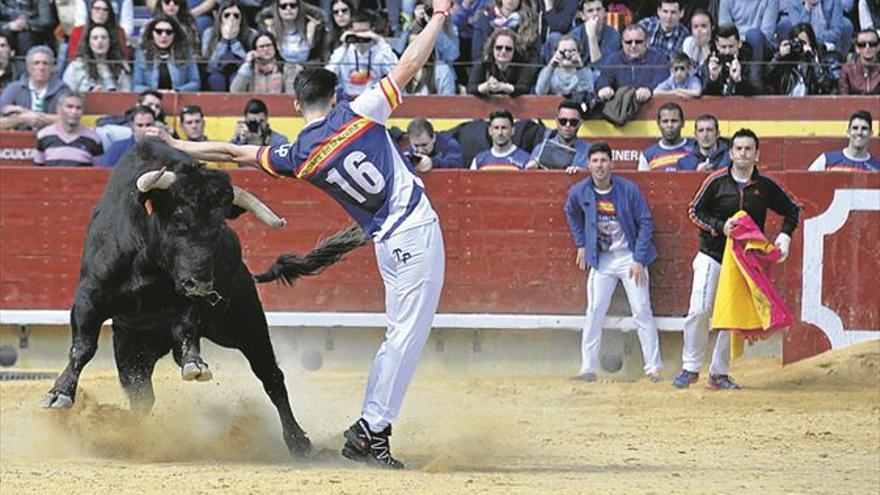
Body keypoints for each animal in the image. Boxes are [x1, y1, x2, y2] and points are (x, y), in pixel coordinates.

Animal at [40, 140, 368, 458]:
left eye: (218, 226)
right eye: (178, 221)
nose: (200, 283)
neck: (148, 262)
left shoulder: (187, 305)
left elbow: (187, 331)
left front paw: (194, 364)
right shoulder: (89, 297)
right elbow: (82, 347)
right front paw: (59, 394)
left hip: (246, 324)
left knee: (271, 377)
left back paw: (299, 442)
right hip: (132, 347)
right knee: (141, 394)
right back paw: (128, 438)